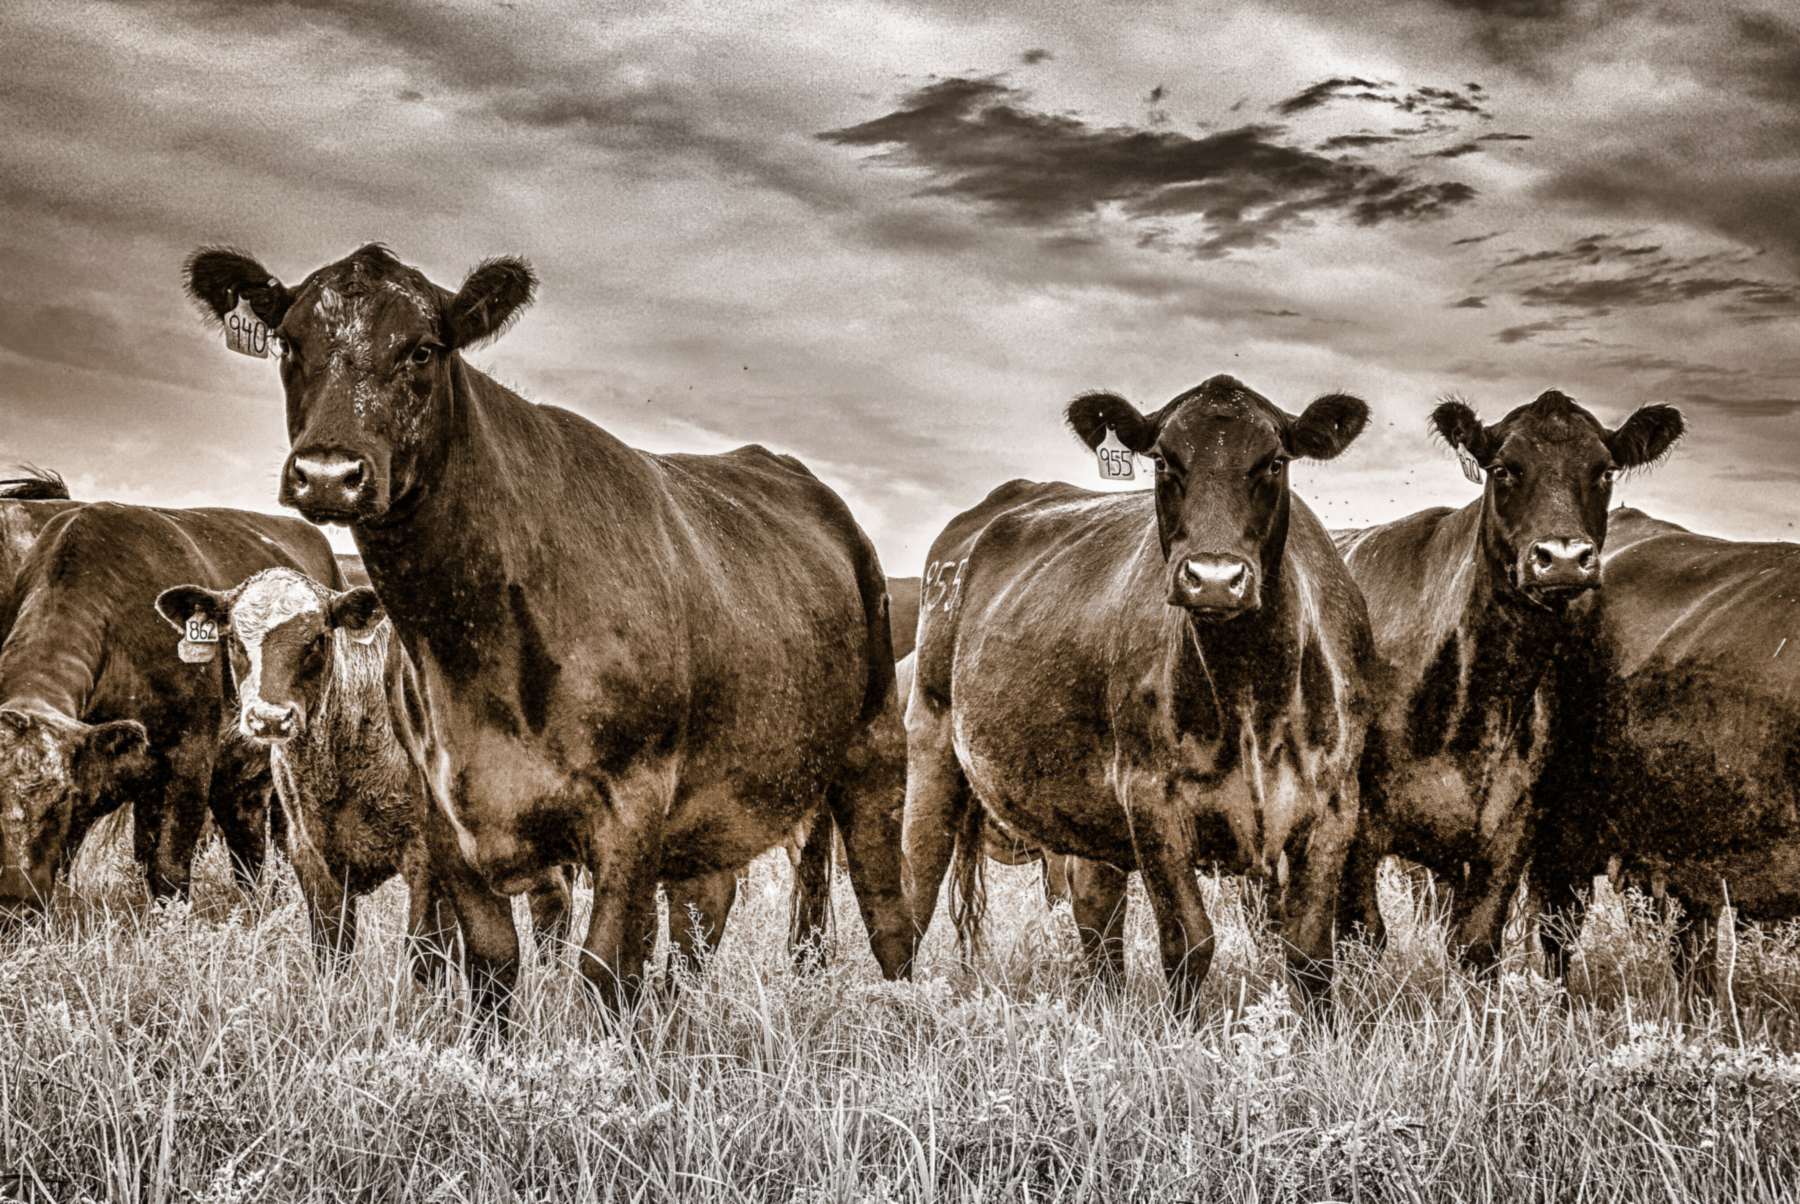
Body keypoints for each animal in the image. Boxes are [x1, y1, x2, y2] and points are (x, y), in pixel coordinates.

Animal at [184, 243, 913, 1026]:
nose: (328, 473)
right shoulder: (445, 816)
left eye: (423, 349)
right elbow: (491, 968)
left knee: (886, 918)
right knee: (703, 915)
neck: (477, 645)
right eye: (291, 343)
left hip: (873, 753)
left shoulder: (632, 808)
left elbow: (602, 971)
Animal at [905, 375, 1375, 1009]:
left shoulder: (1334, 802)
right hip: (930, 741)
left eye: (1275, 461)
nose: (1214, 578)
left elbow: (1309, 953)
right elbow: (1189, 943)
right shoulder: (1152, 798)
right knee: (912, 894)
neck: (1249, 690)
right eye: (1163, 461)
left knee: (1095, 909)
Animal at [1333, 390, 1684, 967]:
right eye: (1503, 469)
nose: (1562, 558)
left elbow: (1476, 946)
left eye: (1605, 470)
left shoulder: (1507, 836)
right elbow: (1361, 936)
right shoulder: (1353, 833)